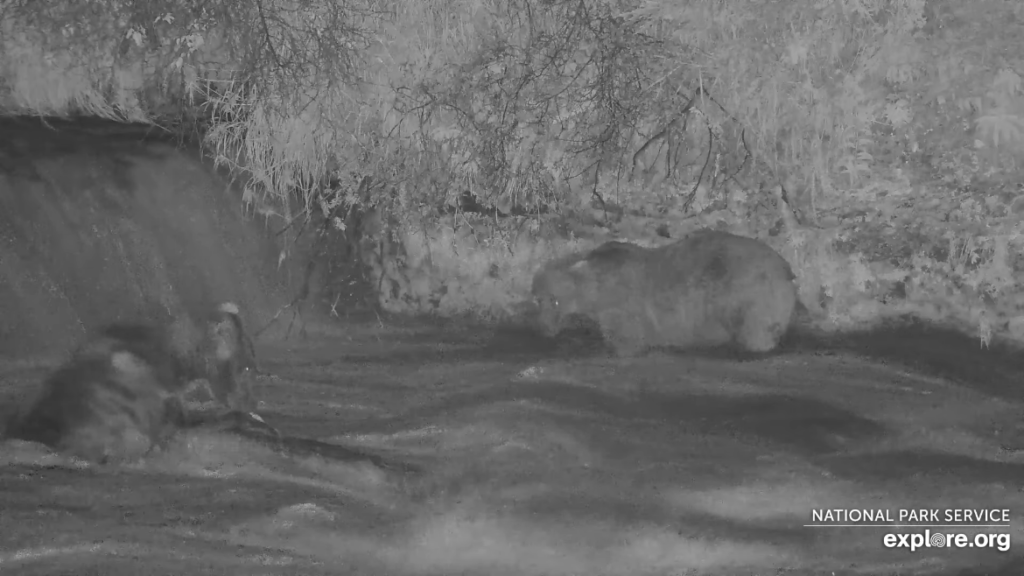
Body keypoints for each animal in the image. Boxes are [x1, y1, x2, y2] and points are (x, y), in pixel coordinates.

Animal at [532, 228, 802, 354]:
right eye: (538, 299)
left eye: (553, 301)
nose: (544, 329)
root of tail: (785, 267)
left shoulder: (623, 306)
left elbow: (626, 341)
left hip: (748, 292)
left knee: (754, 330)